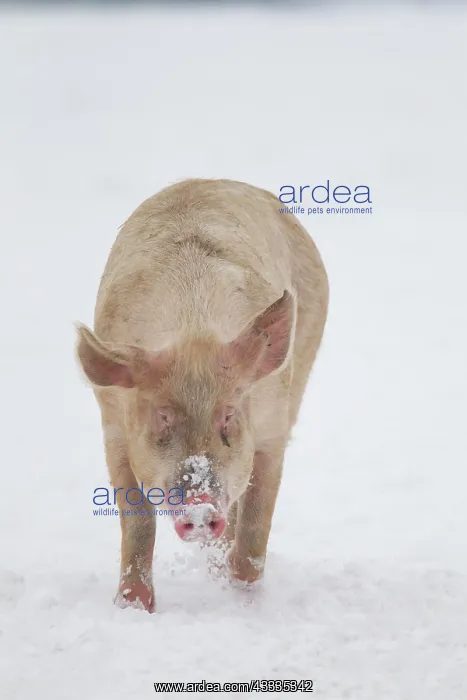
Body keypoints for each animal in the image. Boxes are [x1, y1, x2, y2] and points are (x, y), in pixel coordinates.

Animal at [76, 178, 328, 612]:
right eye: (162, 416)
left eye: (228, 415)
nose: (199, 507)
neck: (193, 331)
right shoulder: (114, 431)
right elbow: (138, 522)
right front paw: (132, 608)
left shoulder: (272, 430)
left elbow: (256, 523)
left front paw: (243, 599)